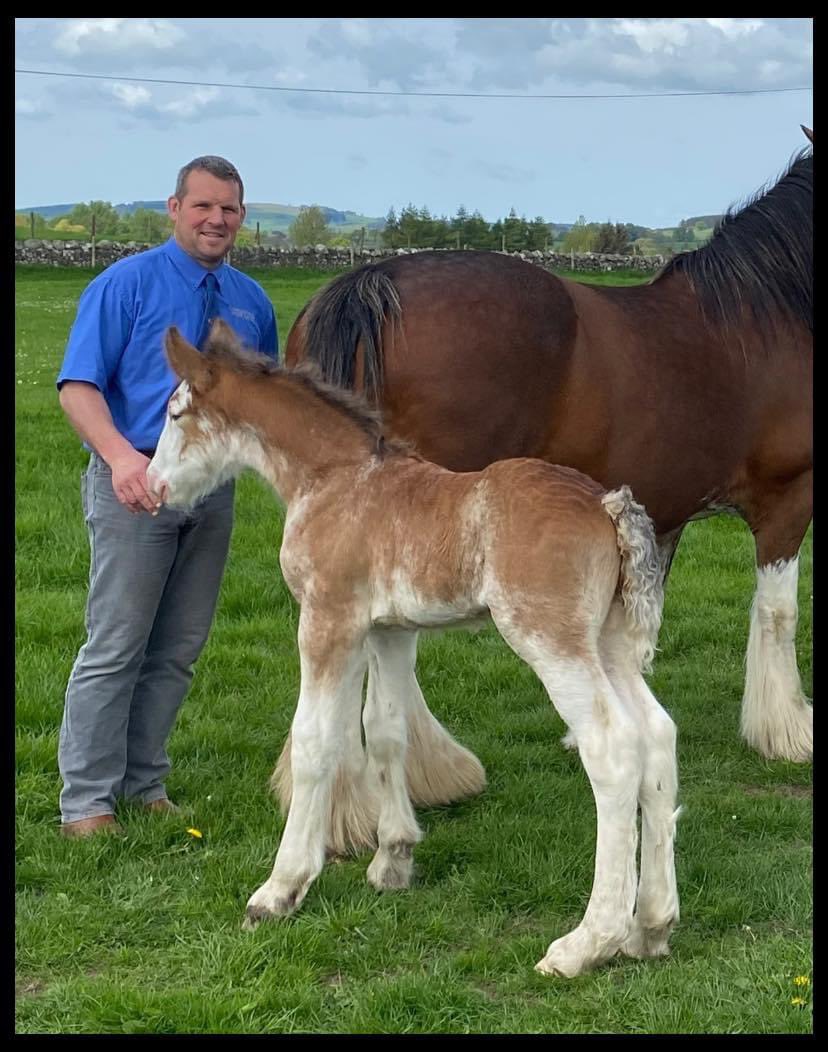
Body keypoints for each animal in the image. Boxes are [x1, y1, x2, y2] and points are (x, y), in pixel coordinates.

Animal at [149, 321, 681, 976]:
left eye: (175, 413)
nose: (155, 488)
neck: (334, 480)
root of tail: (609, 507)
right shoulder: (389, 630)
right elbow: (385, 729)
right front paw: (393, 859)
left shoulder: (328, 620)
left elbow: (316, 741)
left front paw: (280, 890)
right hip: (608, 642)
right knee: (657, 737)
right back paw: (651, 926)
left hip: (551, 641)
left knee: (613, 749)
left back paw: (587, 941)